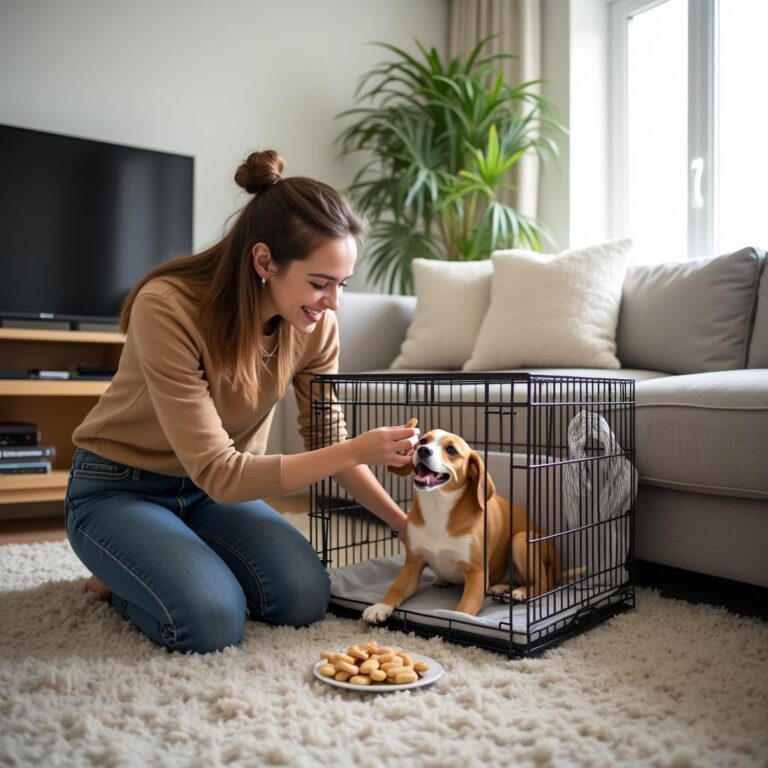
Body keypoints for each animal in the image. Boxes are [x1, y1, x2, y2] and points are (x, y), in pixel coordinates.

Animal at [364, 426, 560, 624]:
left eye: (451, 450)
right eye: (423, 441)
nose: (423, 450)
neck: (438, 507)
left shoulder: (476, 573)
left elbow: (464, 610)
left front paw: (457, 619)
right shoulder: (412, 563)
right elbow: (396, 587)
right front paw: (380, 606)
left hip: (520, 539)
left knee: (545, 583)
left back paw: (520, 592)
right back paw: (498, 587)